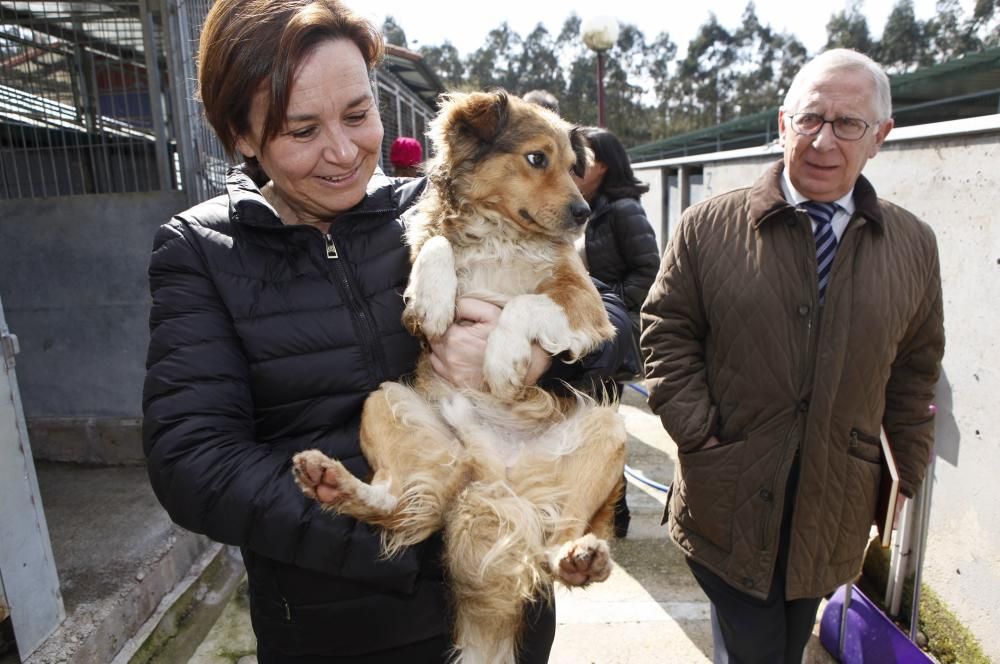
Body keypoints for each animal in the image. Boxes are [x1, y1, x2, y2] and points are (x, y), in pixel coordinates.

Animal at [292, 89, 624, 664]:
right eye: (537, 158)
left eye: (572, 165)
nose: (584, 213)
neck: (501, 233)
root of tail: (495, 483)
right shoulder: (427, 264)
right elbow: (437, 244)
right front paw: (434, 298)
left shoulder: (587, 304)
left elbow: (527, 304)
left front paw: (503, 359)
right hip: (388, 405)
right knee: (400, 505)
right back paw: (330, 482)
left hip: (606, 431)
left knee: (559, 535)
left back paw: (580, 557)